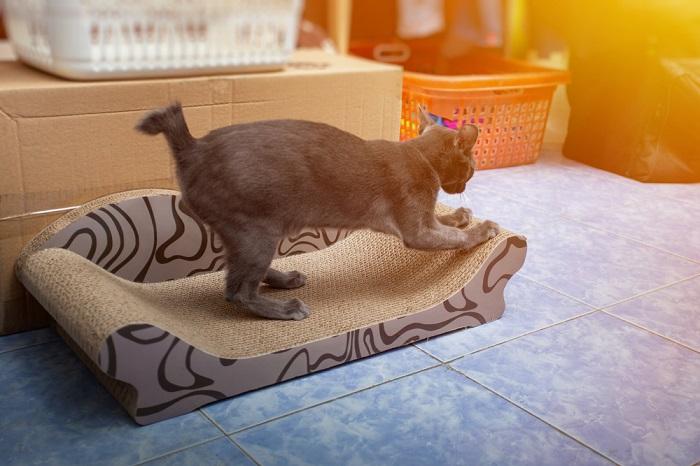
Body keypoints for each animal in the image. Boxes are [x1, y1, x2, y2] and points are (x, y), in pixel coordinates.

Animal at [137, 103, 498, 320]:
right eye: (472, 166)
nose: (467, 180)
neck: (419, 155)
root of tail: (193, 148)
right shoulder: (417, 230)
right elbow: (455, 237)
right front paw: (483, 229)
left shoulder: (424, 220)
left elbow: (445, 221)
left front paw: (462, 215)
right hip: (256, 231)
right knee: (237, 291)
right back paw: (286, 309)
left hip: (250, 231)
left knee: (236, 270)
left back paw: (286, 279)